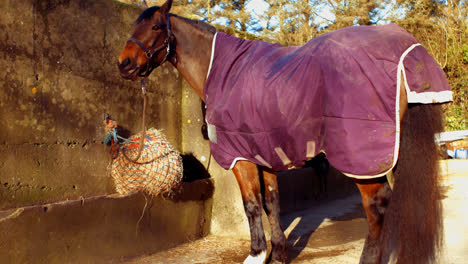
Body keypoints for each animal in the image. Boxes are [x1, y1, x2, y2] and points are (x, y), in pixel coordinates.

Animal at [116, 1, 450, 262]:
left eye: (156, 26)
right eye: (133, 26)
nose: (124, 64)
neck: (219, 71)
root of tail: (406, 50)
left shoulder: (240, 158)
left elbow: (252, 205)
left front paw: (256, 254)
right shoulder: (264, 155)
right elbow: (272, 203)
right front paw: (277, 253)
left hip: (362, 159)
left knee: (378, 207)